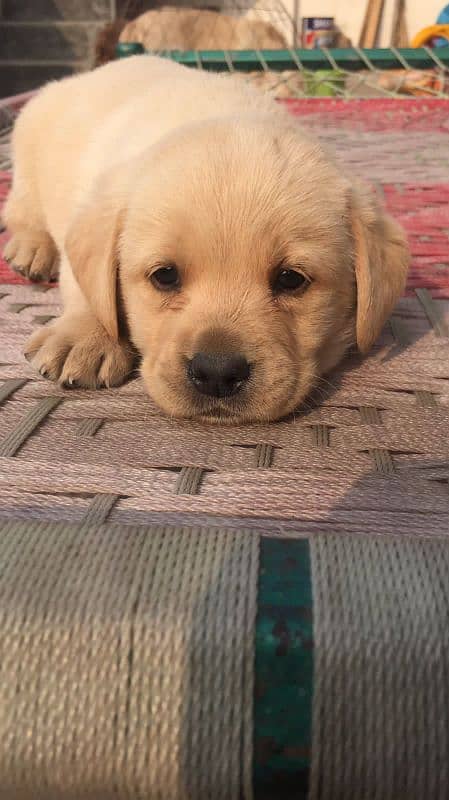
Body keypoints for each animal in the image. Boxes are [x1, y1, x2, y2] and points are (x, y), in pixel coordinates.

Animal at [3, 56, 408, 424]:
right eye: (165, 276)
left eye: (291, 279)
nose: (217, 372)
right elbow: (86, 288)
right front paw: (87, 336)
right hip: (29, 150)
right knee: (19, 209)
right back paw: (31, 249)